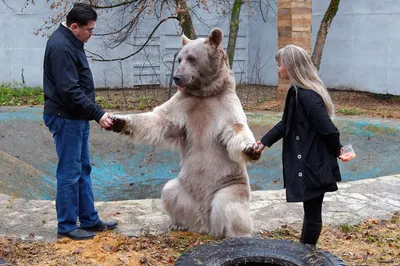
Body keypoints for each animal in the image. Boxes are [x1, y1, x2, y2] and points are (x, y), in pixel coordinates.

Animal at [108, 28, 260, 238]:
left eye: (192, 58)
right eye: (179, 58)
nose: (177, 77)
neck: (205, 93)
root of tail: (205, 223)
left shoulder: (225, 104)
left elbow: (235, 128)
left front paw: (252, 149)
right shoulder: (184, 103)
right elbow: (161, 120)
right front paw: (118, 121)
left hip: (230, 183)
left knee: (229, 205)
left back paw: (234, 233)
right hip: (184, 188)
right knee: (170, 192)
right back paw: (179, 223)